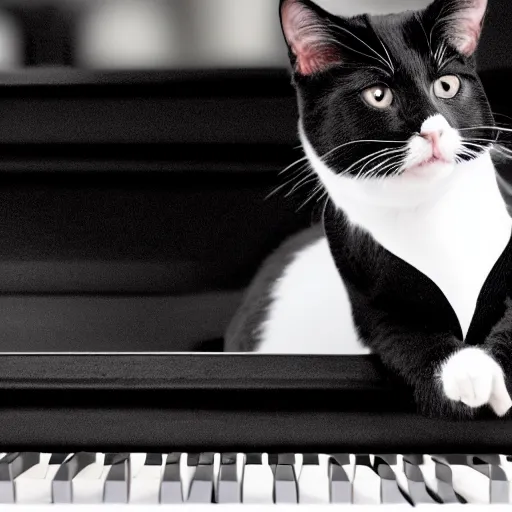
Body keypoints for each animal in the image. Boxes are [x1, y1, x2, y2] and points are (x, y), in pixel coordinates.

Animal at [227, 0, 512, 420]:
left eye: (446, 85)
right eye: (378, 95)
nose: (433, 130)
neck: (431, 215)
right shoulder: (367, 290)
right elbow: (406, 336)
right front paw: (468, 373)